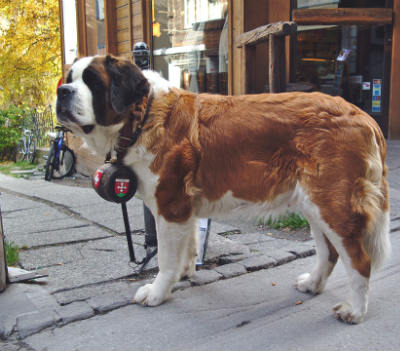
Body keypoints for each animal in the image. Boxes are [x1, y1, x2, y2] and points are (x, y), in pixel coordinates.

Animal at [57, 54, 390, 324]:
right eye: (70, 78)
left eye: (93, 82)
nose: (62, 91)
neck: (144, 115)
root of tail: (362, 115)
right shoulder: (184, 209)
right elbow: (188, 245)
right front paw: (186, 272)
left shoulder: (170, 206)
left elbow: (165, 258)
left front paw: (157, 292)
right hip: (315, 205)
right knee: (329, 252)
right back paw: (312, 284)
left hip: (331, 205)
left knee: (359, 261)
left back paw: (354, 311)